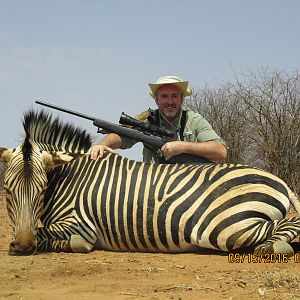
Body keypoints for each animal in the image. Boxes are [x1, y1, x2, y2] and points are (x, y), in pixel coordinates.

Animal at [0, 110, 298, 255]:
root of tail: (279, 181)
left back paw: (273, 247)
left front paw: (73, 245)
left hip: (224, 227)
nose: (22, 247)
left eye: (41, 190)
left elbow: (49, 235)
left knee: (288, 225)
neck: (69, 176)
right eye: (7, 190)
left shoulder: (80, 224)